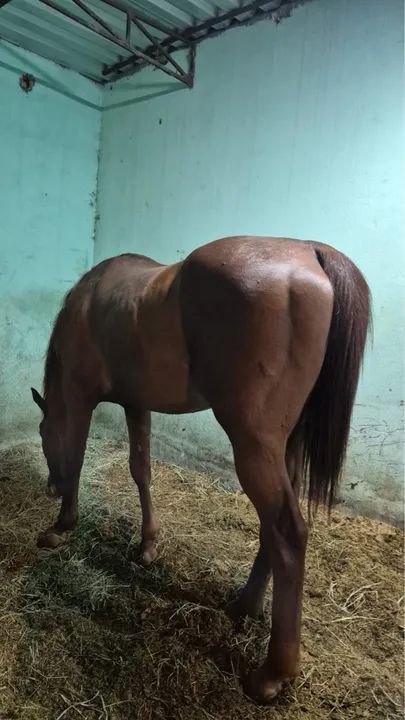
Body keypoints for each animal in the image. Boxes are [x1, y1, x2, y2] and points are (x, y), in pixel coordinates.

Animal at [31, 235, 371, 703]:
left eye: (43, 432)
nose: (50, 487)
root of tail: (309, 251)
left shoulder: (81, 396)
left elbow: (79, 456)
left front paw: (63, 525)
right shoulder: (136, 403)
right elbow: (141, 469)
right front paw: (148, 545)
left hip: (252, 443)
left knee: (287, 530)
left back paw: (273, 672)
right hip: (283, 446)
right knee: (273, 526)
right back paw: (246, 604)